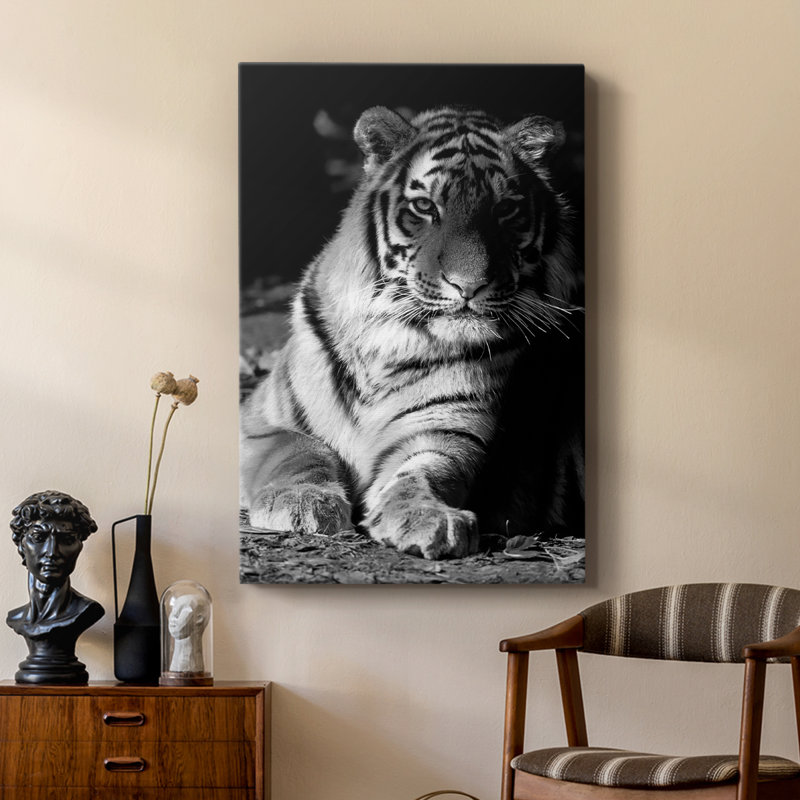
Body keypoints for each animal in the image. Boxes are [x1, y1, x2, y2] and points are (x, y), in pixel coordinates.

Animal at [240, 105, 584, 560]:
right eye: (424, 206)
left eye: (505, 210)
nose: (469, 285)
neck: (389, 341)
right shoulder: (260, 421)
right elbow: (299, 451)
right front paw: (301, 502)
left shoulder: (445, 432)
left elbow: (423, 473)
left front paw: (429, 518)